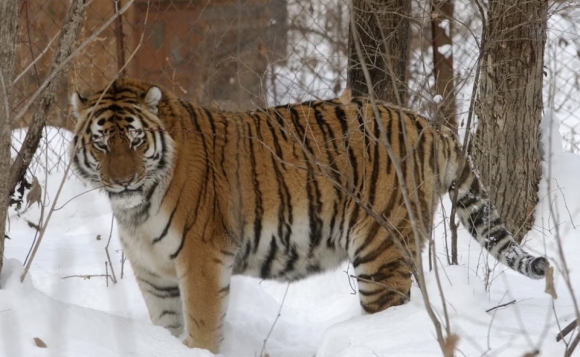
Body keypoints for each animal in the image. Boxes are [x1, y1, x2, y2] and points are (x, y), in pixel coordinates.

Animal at [70, 76, 548, 352]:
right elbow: (166, 325)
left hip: (382, 252)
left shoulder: (200, 259)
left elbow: (202, 328)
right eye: (101, 143)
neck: (136, 209)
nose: (123, 181)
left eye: (135, 141)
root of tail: (431, 124)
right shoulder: (153, 273)